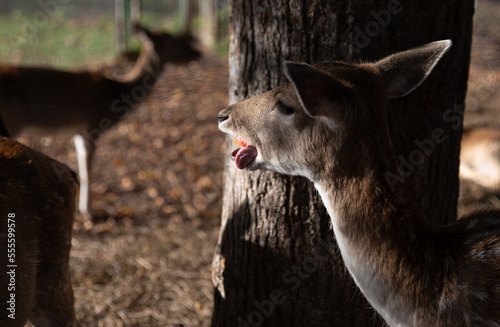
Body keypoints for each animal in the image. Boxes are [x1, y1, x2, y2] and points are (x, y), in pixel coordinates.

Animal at [0, 23, 199, 223]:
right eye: (172, 41)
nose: (197, 52)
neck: (116, 94)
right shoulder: (92, 125)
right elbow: (88, 169)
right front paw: (89, 213)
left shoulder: (78, 131)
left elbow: (82, 165)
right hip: (13, 122)